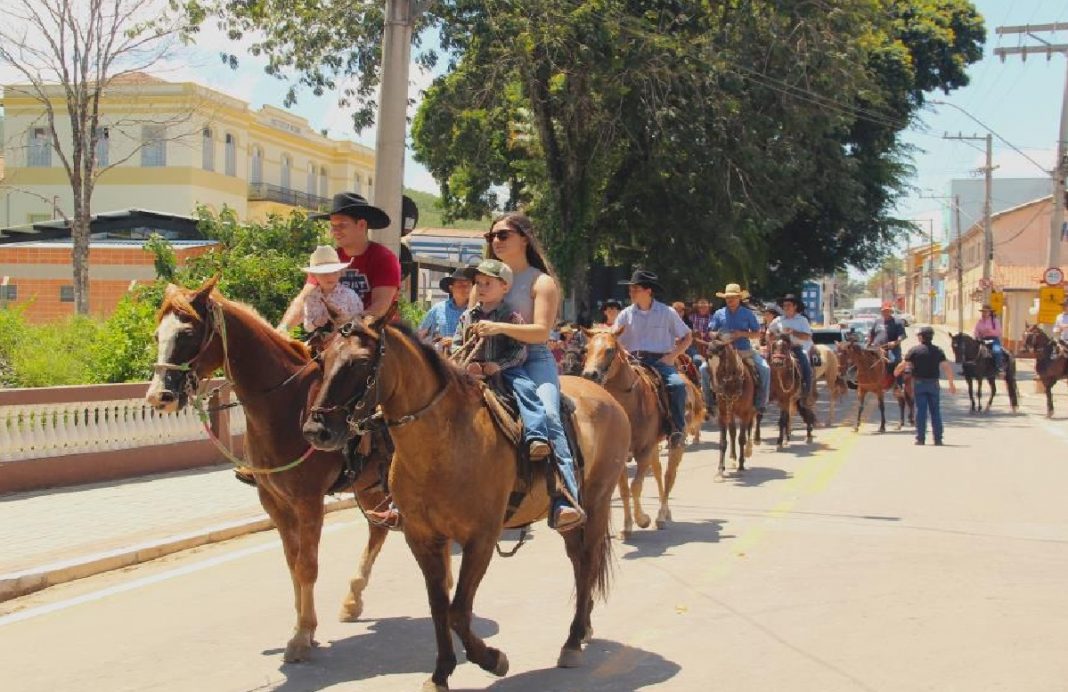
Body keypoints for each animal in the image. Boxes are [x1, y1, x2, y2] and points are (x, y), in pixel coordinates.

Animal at [142, 277, 393, 662]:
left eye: (187, 334)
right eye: (158, 335)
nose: (159, 396)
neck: (286, 404)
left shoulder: (308, 502)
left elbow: (307, 565)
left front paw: (302, 636)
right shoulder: (274, 501)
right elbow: (293, 563)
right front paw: (303, 626)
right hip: (370, 485)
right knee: (377, 531)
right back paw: (353, 598)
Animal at [301, 316, 627, 687]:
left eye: (358, 362)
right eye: (322, 360)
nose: (315, 430)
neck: (444, 444)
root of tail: (605, 396)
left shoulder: (480, 539)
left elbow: (458, 611)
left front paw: (492, 658)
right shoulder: (422, 538)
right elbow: (439, 606)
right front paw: (441, 673)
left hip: (599, 502)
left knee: (588, 562)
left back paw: (572, 641)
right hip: (569, 516)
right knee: (577, 560)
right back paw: (582, 629)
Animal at [580, 328, 704, 536]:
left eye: (610, 350)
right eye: (586, 349)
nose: (590, 374)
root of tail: (688, 382)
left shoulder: (644, 451)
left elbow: (636, 486)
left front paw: (642, 519)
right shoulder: (621, 455)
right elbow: (624, 489)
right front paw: (627, 525)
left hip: (676, 442)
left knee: (669, 475)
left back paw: (661, 516)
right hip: (654, 447)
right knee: (658, 472)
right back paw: (666, 513)